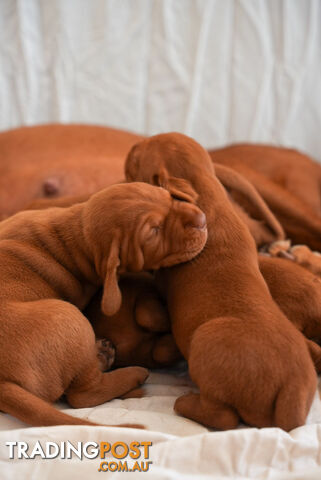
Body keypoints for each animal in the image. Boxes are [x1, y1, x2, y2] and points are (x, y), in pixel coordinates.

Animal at [0, 181, 206, 428]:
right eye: (154, 231)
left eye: (169, 197)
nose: (202, 220)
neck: (74, 236)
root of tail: (2, 383)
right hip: (71, 318)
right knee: (83, 395)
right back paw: (130, 372)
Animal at [125, 134, 316, 432]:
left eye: (135, 159)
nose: (129, 147)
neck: (205, 191)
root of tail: (291, 393)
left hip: (204, 348)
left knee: (223, 417)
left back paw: (186, 404)